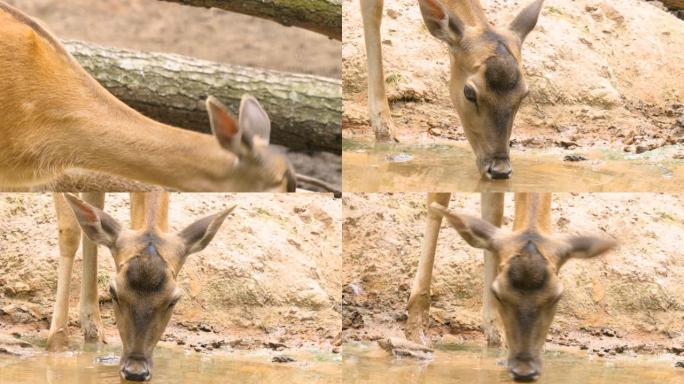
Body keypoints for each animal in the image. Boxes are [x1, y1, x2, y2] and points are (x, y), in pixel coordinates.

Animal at [388, 192, 616, 380]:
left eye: (557, 296)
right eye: (498, 293)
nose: (524, 370)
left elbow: (494, 212)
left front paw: (496, 336)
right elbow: (439, 200)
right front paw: (416, 328)